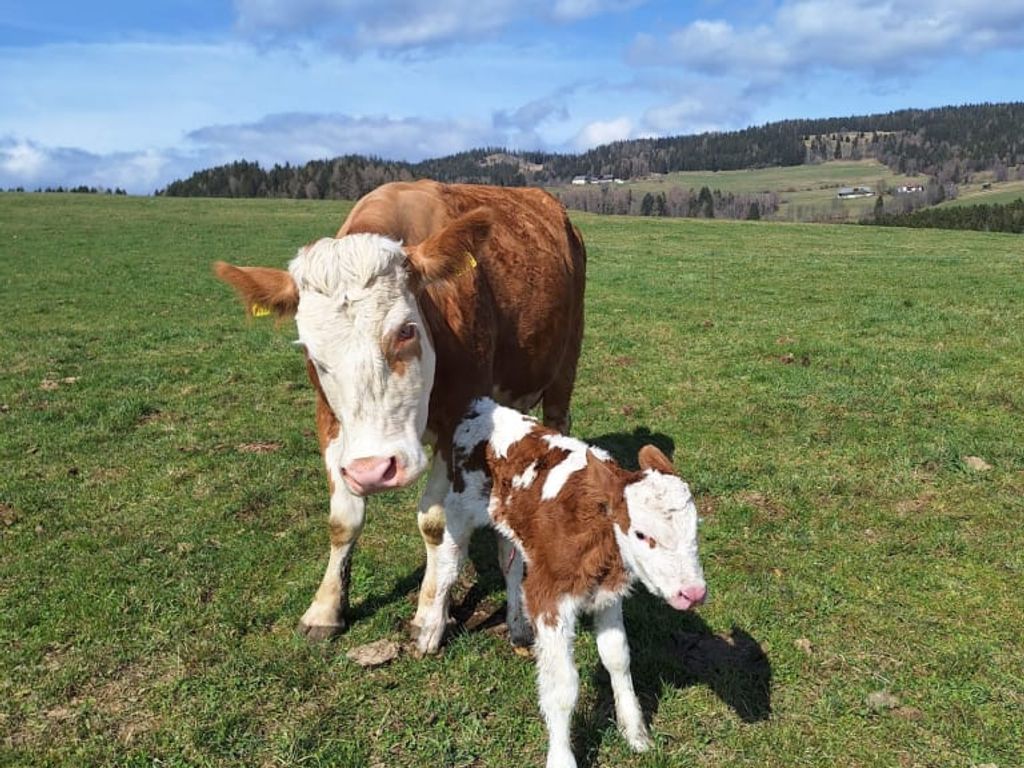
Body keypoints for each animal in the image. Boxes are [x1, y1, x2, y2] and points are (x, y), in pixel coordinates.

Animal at [214, 180, 586, 641]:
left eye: (406, 330)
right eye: (309, 349)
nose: (375, 471)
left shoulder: (459, 421)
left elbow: (436, 522)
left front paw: (430, 617)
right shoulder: (330, 421)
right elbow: (343, 519)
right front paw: (325, 609)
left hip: (564, 368)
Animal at [416, 397, 707, 768]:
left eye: (695, 527)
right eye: (642, 534)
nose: (693, 593)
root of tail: (482, 406)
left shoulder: (608, 594)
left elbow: (618, 657)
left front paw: (636, 732)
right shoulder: (550, 598)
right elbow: (563, 686)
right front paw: (561, 757)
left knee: (510, 564)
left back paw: (518, 626)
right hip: (458, 510)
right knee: (447, 563)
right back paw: (430, 631)